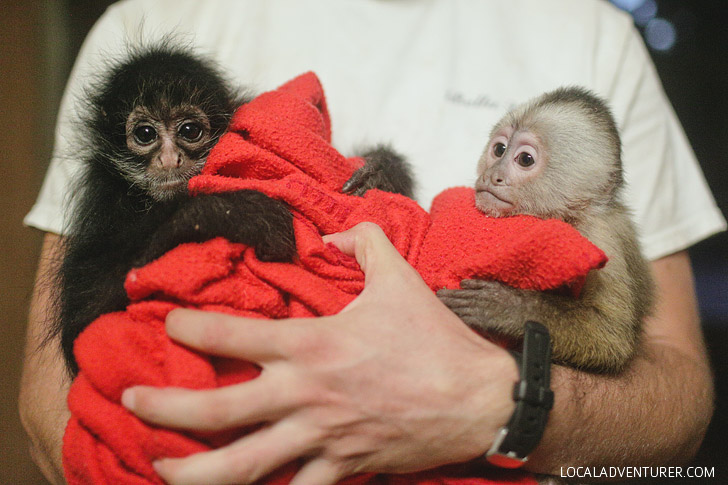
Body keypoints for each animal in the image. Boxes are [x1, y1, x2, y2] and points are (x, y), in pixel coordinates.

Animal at [438, 87, 656, 372]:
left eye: (525, 159)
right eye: (499, 149)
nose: (493, 175)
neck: (571, 214)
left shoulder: (600, 238)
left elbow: (609, 335)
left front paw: (510, 308)